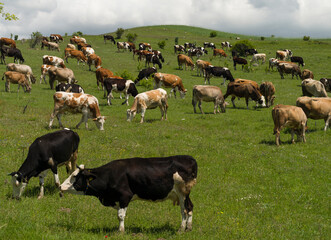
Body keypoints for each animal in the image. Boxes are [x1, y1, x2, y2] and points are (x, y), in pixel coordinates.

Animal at [59, 155, 197, 232]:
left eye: (74, 176)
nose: (61, 186)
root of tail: (189, 158)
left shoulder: (125, 196)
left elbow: (120, 215)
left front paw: (120, 231)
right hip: (183, 194)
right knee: (189, 207)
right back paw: (188, 228)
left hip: (182, 192)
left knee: (184, 210)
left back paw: (181, 229)